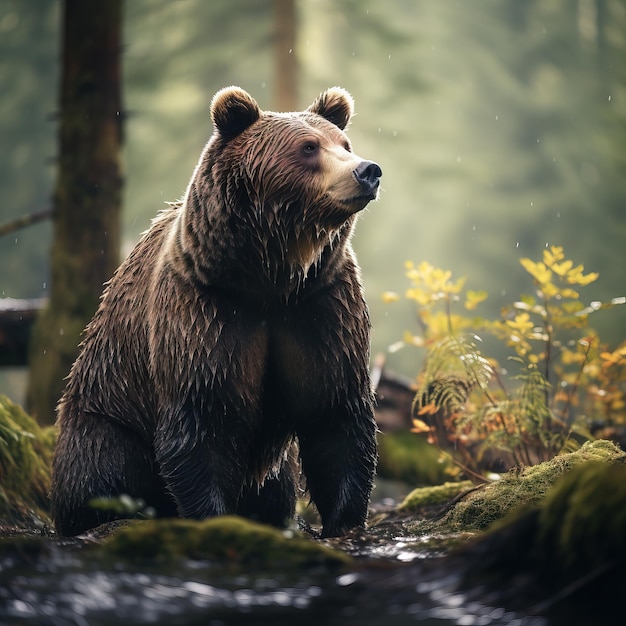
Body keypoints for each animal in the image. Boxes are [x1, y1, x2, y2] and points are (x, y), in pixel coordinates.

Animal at [50, 86, 380, 536]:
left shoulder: (320, 305)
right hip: (107, 412)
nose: (367, 170)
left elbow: (336, 412)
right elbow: (203, 419)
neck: (271, 276)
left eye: (344, 144)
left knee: (275, 485)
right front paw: (213, 516)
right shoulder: (205, 311)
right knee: (101, 470)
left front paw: (344, 522)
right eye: (309, 147)